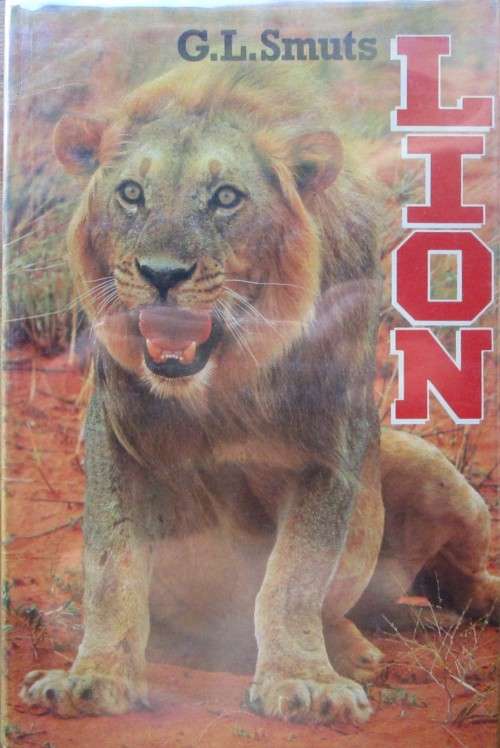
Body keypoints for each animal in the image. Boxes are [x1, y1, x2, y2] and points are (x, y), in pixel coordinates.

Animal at [21, 63, 499, 725]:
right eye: (131, 193)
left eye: (227, 197)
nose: (162, 274)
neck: (224, 380)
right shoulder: (116, 433)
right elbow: (112, 568)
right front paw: (93, 678)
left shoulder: (329, 447)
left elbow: (292, 578)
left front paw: (303, 680)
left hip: (438, 475)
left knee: (452, 583)